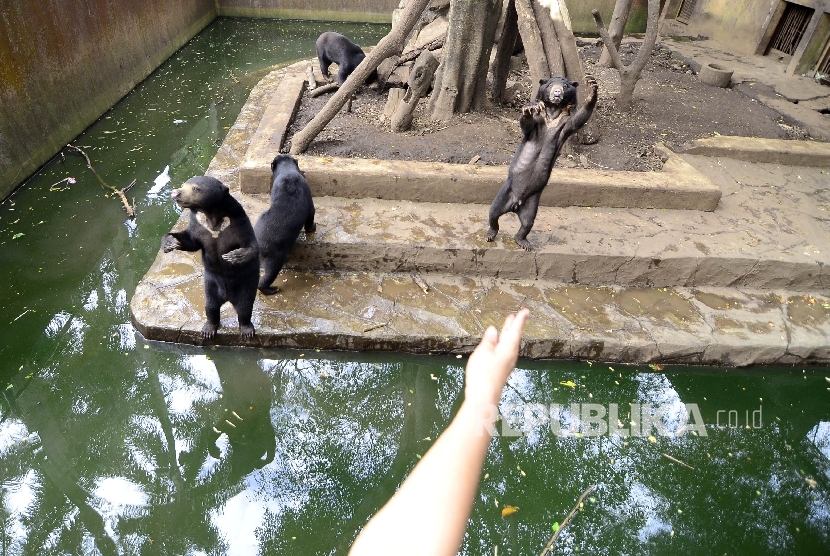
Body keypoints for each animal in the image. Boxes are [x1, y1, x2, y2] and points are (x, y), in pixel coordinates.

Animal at [159, 176, 256, 338]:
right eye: (183, 185)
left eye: (195, 188)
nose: (175, 193)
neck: (212, 215)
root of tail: (227, 297)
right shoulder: (198, 227)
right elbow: (189, 241)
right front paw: (170, 243)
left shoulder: (239, 223)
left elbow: (251, 244)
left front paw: (234, 256)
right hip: (211, 285)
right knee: (211, 307)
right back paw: (208, 329)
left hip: (245, 285)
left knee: (245, 308)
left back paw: (246, 330)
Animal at [254, 154, 316, 296]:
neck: (287, 170)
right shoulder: (308, 196)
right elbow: (311, 214)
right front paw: (313, 228)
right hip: (274, 256)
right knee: (268, 276)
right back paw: (273, 289)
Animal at [488, 73, 600, 250]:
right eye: (550, 85)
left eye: (565, 86)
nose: (557, 93)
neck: (553, 112)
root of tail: (515, 205)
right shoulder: (538, 123)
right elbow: (527, 125)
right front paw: (528, 108)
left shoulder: (564, 124)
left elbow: (578, 119)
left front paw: (592, 87)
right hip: (506, 192)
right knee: (493, 212)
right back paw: (491, 233)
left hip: (532, 202)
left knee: (527, 223)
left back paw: (523, 241)